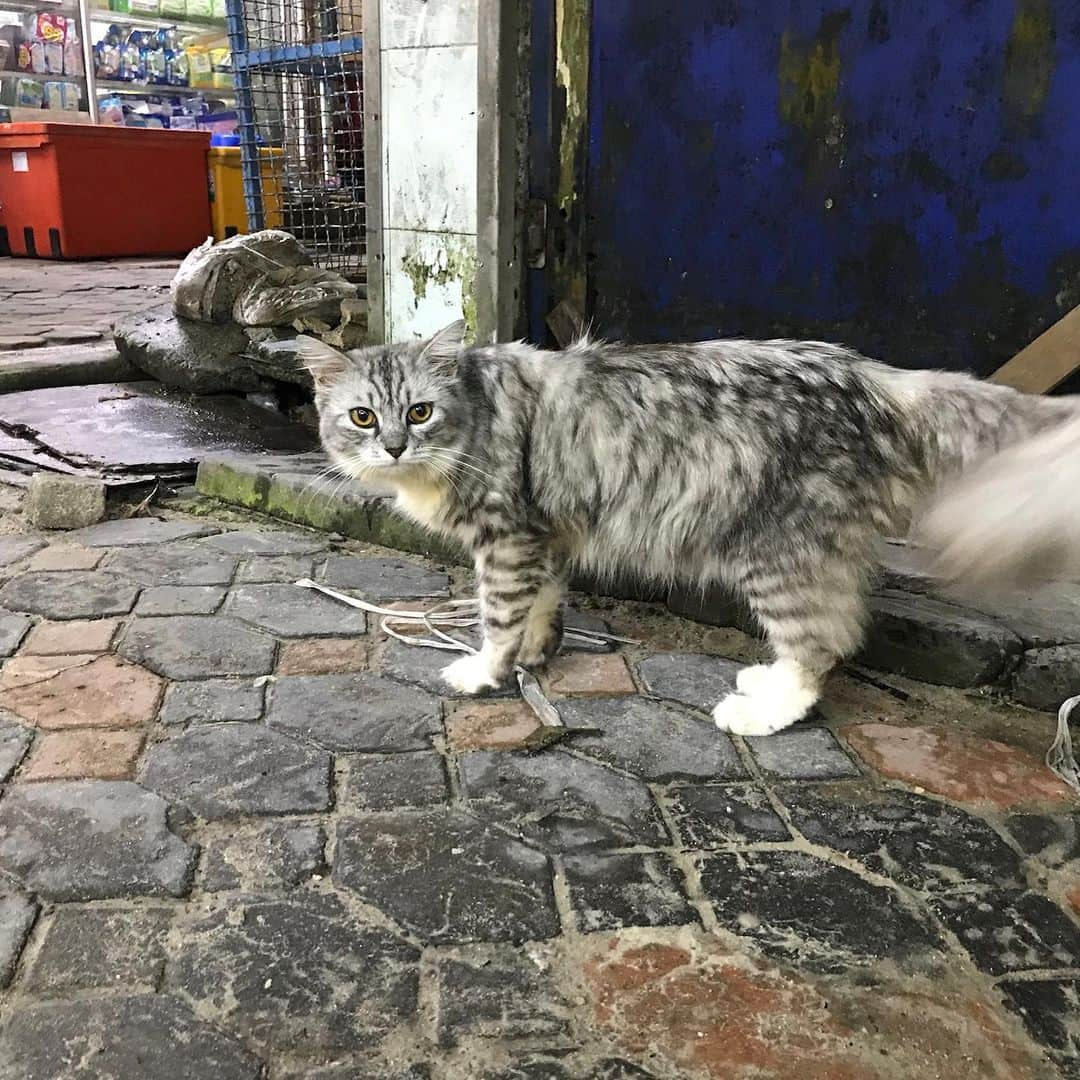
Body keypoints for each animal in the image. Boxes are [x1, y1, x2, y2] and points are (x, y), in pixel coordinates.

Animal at [298, 319, 1080, 738]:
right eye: (363, 417)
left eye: (420, 412)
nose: (393, 446)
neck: (475, 413)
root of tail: (882, 379)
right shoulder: (545, 533)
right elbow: (543, 605)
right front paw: (537, 655)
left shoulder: (508, 536)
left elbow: (497, 616)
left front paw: (486, 670)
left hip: (778, 553)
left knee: (822, 644)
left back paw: (762, 712)